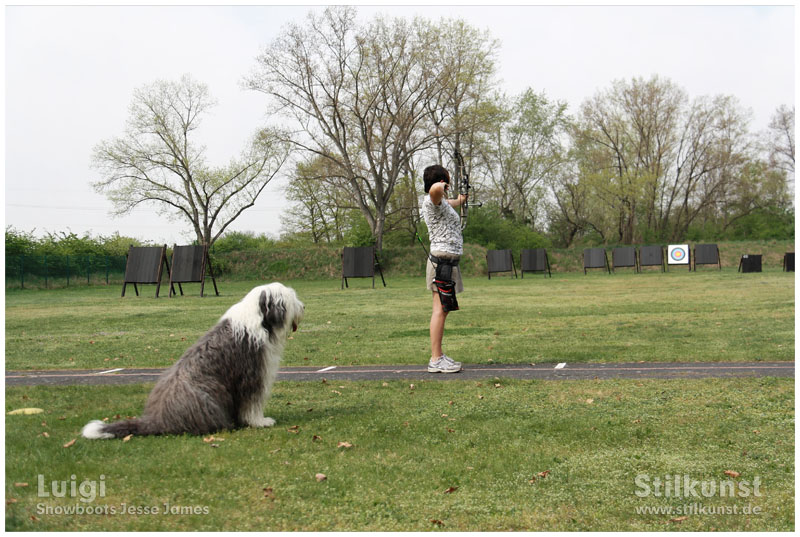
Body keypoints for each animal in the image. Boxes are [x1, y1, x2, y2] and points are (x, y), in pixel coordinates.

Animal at [82, 282, 304, 438]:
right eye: (291, 298)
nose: (303, 307)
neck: (259, 320)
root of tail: (155, 420)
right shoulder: (252, 374)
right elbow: (252, 402)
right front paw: (260, 421)